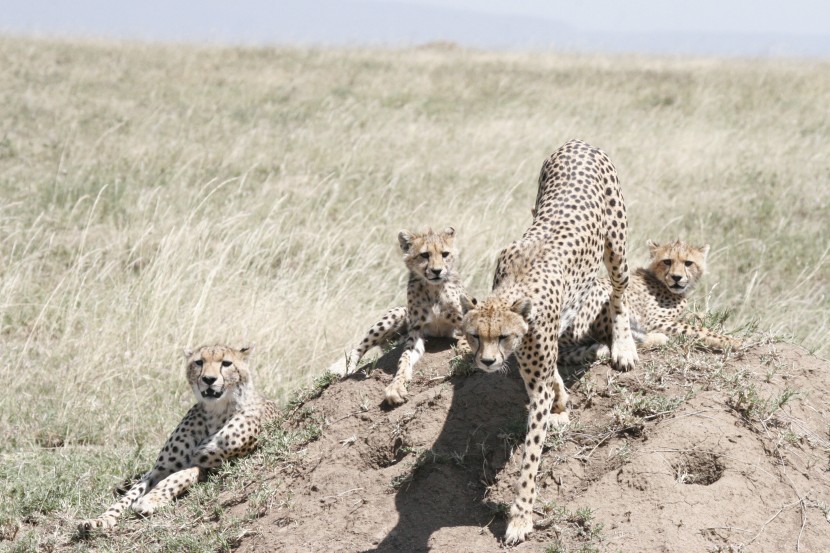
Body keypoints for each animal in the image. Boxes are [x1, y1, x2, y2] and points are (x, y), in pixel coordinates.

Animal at [77, 344, 276, 532]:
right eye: (199, 362)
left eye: (226, 363)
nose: (209, 379)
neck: (215, 411)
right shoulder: (159, 469)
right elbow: (129, 496)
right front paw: (101, 519)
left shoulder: (214, 466)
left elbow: (179, 476)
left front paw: (149, 500)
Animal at [334, 226, 474, 404]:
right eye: (425, 255)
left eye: (445, 254)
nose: (437, 271)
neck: (433, 288)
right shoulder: (416, 332)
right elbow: (404, 358)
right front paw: (397, 386)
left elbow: (467, 336)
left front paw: (465, 349)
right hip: (397, 313)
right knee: (359, 347)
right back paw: (344, 368)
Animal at [462, 139, 636, 544]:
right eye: (475, 336)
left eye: (503, 336)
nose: (487, 362)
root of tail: (577, 142)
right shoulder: (531, 367)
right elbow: (549, 377)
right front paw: (561, 400)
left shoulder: (535, 370)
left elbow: (530, 454)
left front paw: (520, 517)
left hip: (616, 246)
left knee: (620, 292)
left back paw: (622, 346)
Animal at [560, 237, 740, 362]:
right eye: (667, 261)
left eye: (688, 263)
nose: (676, 277)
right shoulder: (655, 321)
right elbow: (697, 329)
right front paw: (730, 341)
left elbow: (695, 318)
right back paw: (658, 338)